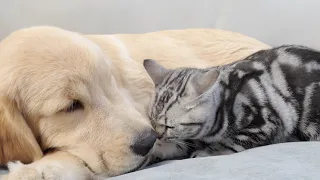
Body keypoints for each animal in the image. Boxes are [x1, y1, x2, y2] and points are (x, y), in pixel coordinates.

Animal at [144, 44, 320, 162]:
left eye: (169, 126)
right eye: (151, 120)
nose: (158, 136)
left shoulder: (266, 124)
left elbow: (231, 142)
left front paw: (207, 152)